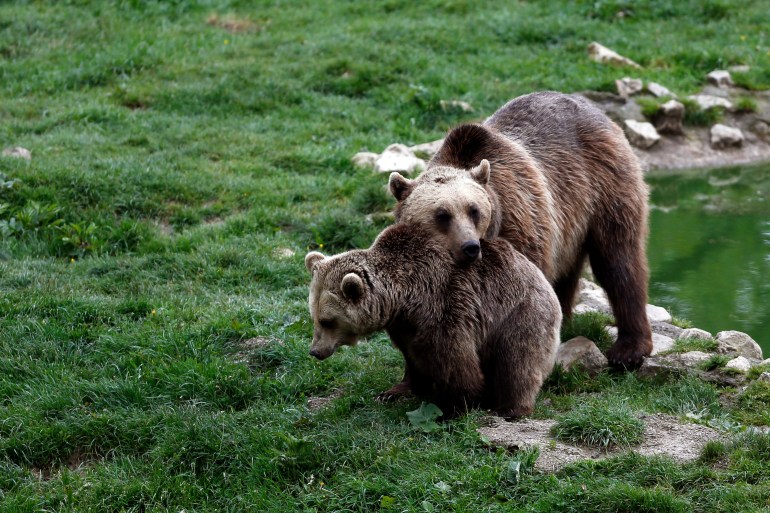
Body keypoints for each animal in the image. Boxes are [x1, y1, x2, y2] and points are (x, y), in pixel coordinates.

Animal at [304, 222, 560, 418]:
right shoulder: (404, 325)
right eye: (314, 317)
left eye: (327, 321)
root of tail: (546, 284)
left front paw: (452, 408)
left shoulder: (446, 305)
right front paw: (394, 391)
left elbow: (454, 360)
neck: (405, 297)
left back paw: (509, 408)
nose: (315, 351)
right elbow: (412, 357)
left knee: (517, 361)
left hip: (519, 313)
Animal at [390, 89, 648, 368]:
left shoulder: (521, 224)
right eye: (442, 215)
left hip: (604, 187)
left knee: (617, 261)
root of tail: (593, 107)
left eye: (474, 210)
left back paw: (629, 348)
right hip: (569, 224)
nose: (470, 247)